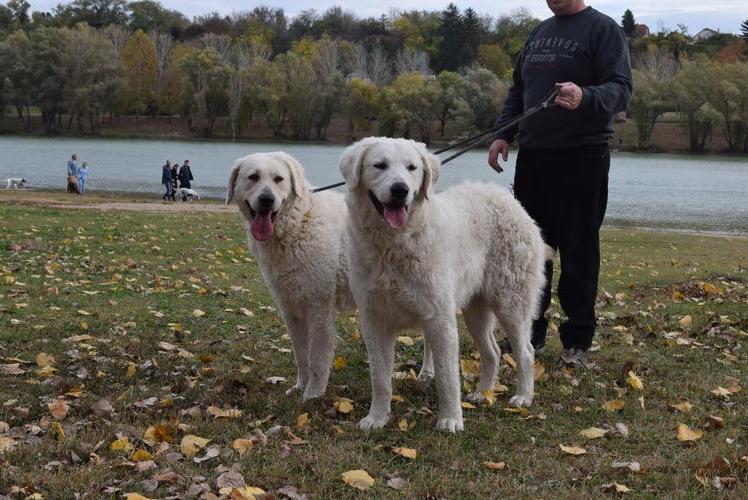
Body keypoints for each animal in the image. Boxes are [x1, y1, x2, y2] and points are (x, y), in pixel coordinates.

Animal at [225, 153, 356, 402]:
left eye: (279, 179)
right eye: (253, 177)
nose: (267, 199)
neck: (298, 222)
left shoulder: (319, 308)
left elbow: (317, 359)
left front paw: (312, 396)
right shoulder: (291, 309)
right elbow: (301, 356)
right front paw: (299, 387)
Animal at [342, 138, 548, 434]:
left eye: (412, 168)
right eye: (379, 165)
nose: (400, 190)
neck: (394, 244)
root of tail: (507, 198)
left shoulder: (440, 319)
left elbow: (447, 377)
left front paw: (450, 420)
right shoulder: (374, 322)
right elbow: (380, 379)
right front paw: (377, 418)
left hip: (511, 304)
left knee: (526, 352)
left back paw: (523, 396)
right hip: (476, 312)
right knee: (493, 352)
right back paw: (482, 393)